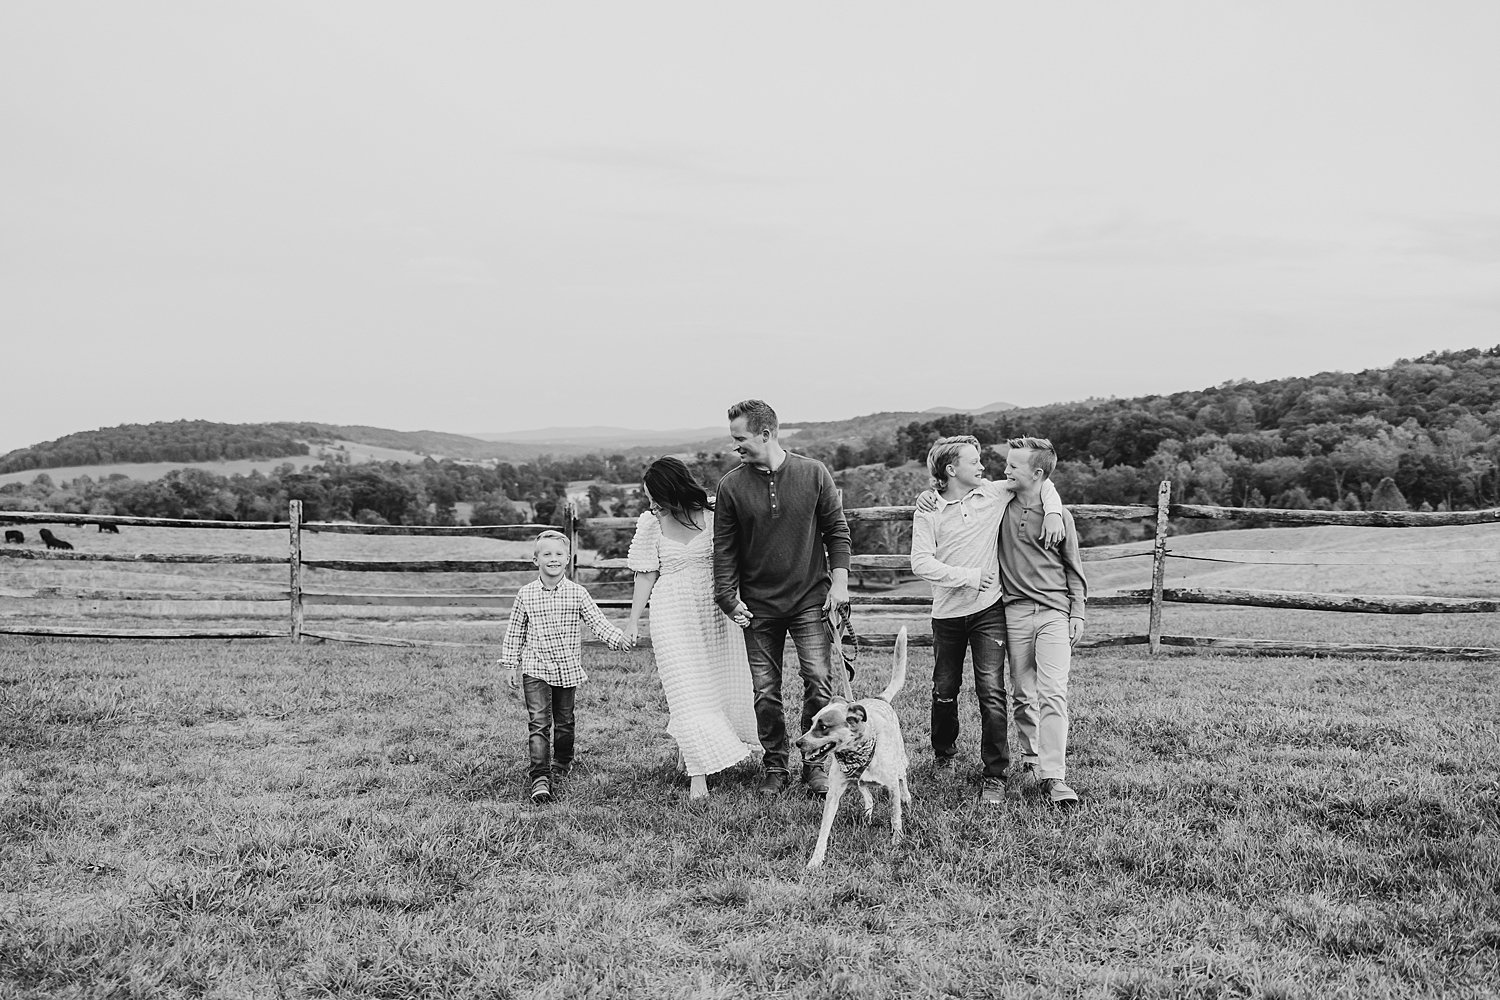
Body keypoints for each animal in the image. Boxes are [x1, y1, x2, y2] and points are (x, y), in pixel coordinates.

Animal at [798, 626, 912, 869]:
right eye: (811, 723)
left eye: (823, 726)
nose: (798, 743)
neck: (857, 752)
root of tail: (880, 699)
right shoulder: (833, 792)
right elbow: (824, 829)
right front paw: (816, 859)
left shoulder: (891, 786)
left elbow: (895, 815)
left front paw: (897, 840)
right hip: (858, 781)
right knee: (867, 794)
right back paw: (867, 814)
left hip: (900, 759)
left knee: (903, 777)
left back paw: (907, 797)